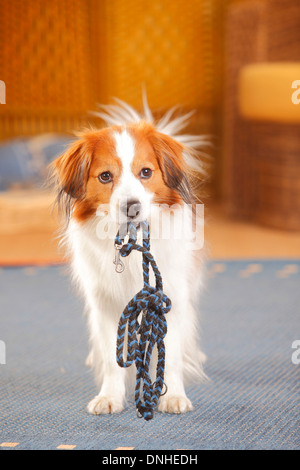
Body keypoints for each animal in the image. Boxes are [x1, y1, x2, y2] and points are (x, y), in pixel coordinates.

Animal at [49, 99, 209, 414]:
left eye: (145, 172)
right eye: (105, 176)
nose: (132, 207)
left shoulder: (169, 297)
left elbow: (171, 353)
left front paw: (173, 395)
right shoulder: (105, 303)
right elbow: (113, 358)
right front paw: (109, 396)